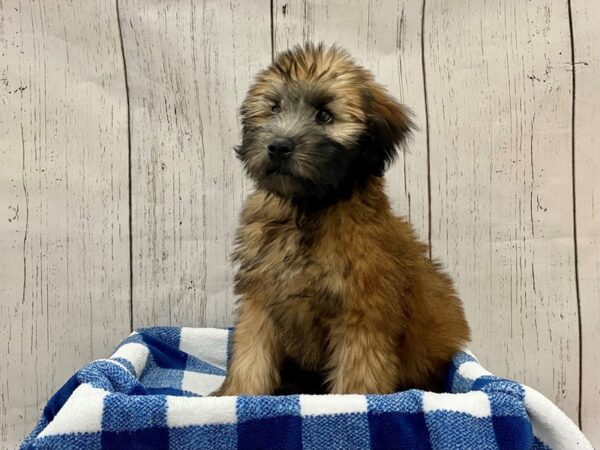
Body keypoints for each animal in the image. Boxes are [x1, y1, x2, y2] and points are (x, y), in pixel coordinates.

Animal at [213, 42, 472, 394]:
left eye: (325, 115)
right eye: (274, 108)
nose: (278, 146)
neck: (308, 211)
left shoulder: (362, 313)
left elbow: (357, 375)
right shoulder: (261, 299)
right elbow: (250, 356)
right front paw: (236, 394)